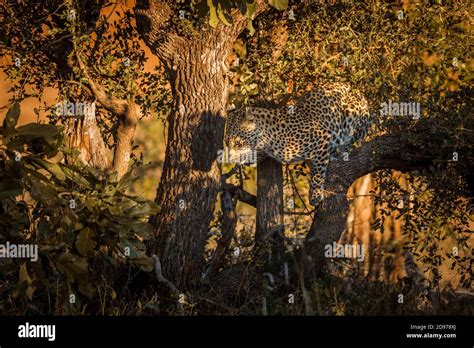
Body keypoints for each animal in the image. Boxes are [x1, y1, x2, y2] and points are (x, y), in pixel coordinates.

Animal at [224, 81, 372, 207]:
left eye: (238, 143)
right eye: (226, 142)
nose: (230, 158)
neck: (268, 138)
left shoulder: (323, 139)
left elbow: (317, 172)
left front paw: (315, 196)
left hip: (352, 115)